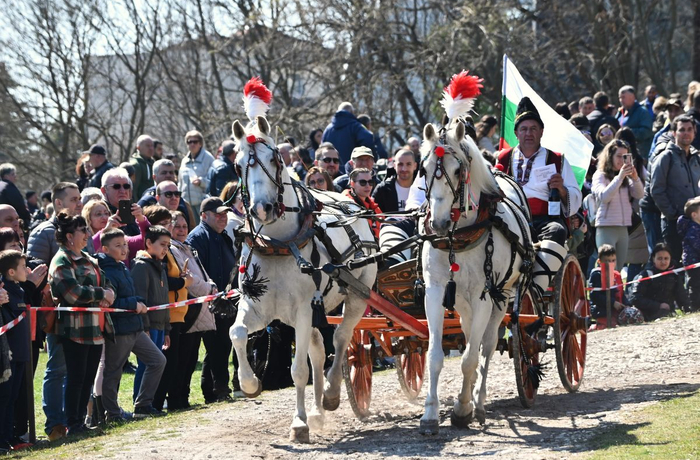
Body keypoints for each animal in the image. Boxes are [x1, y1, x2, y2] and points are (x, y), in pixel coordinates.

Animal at [229, 116, 378, 443]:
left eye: (274, 159)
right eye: (236, 164)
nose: (262, 209)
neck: (278, 244)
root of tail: (352, 204)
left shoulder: (304, 310)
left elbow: (298, 370)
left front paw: (298, 424)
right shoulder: (258, 306)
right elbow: (237, 333)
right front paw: (249, 383)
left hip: (357, 294)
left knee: (341, 338)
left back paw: (331, 394)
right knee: (319, 350)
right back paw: (318, 410)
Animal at [418, 119, 532, 434]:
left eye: (458, 171)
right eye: (424, 169)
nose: (438, 223)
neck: (458, 238)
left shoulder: (484, 296)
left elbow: (470, 358)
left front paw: (461, 409)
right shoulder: (435, 291)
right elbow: (435, 356)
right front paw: (430, 414)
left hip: (502, 296)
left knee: (487, 346)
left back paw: (477, 403)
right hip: (462, 301)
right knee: (471, 336)